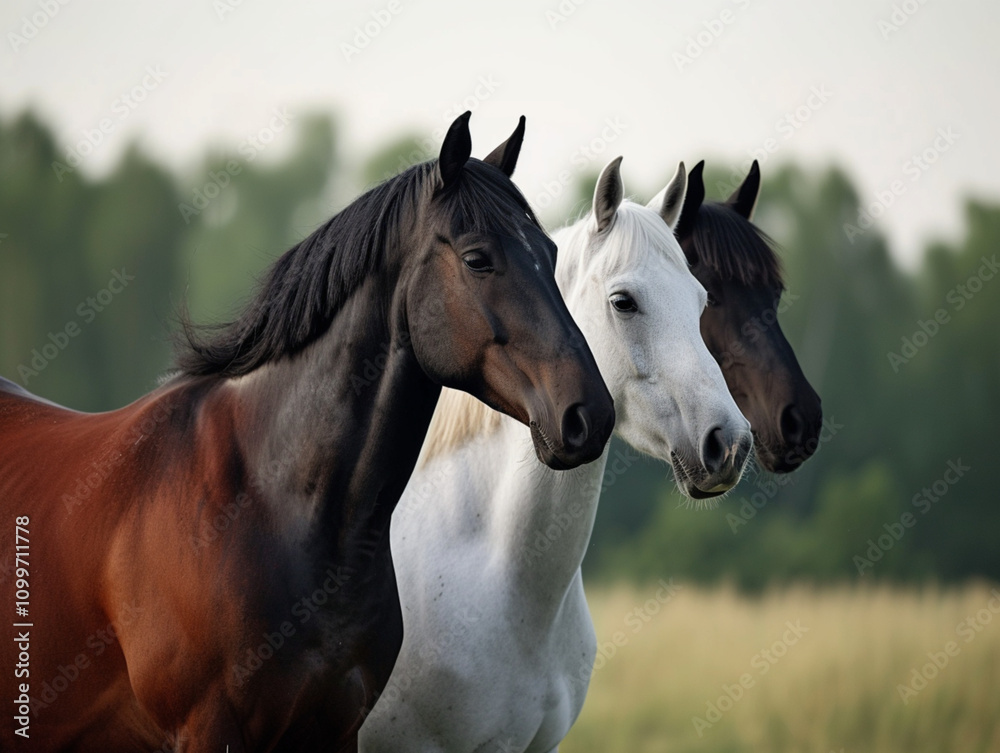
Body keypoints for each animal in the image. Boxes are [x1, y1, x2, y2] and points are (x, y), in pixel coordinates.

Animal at [0, 112, 616, 752]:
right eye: (477, 259)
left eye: (549, 252)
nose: (589, 415)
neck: (274, 501)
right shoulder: (208, 732)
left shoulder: (336, 730)